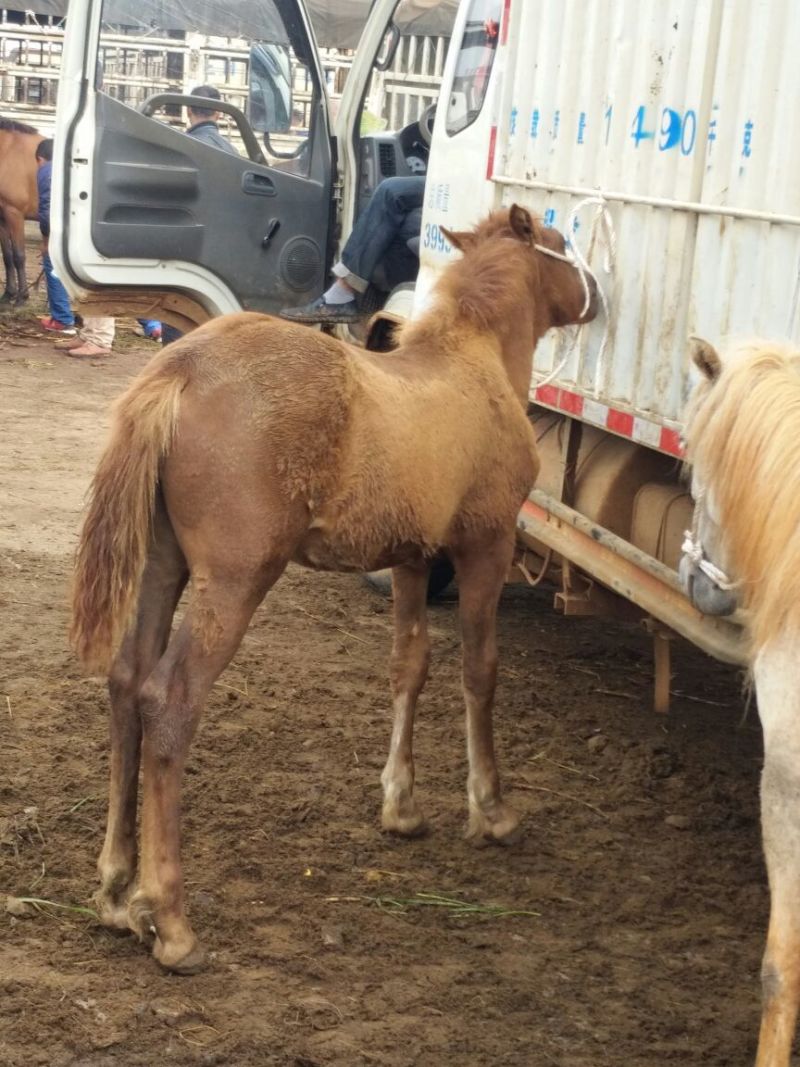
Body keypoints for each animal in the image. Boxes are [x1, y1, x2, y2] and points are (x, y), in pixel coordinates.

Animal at [70, 204, 598, 973]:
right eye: (562, 245)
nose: (599, 296)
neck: (473, 365)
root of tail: (179, 368)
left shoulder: (413, 558)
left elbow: (410, 666)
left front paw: (401, 806)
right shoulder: (487, 546)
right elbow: (480, 670)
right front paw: (492, 809)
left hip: (163, 565)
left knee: (126, 684)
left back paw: (115, 892)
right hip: (234, 579)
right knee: (168, 701)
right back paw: (169, 919)